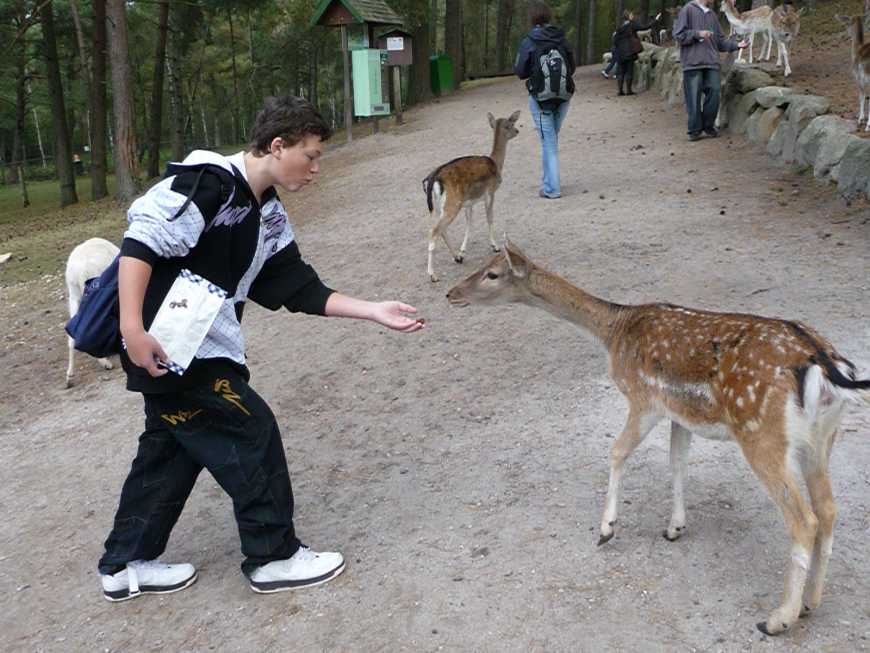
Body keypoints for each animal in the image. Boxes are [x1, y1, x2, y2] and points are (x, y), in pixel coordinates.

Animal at [421, 111, 520, 283]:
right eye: (510, 124)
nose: (517, 131)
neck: (497, 163)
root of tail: (432, 178)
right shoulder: (490, 192)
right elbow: (489, 217)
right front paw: (495, 246)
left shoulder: (469, 202)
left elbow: (469, 222)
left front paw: (462, 252)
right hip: (453, 203)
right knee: (433, 231)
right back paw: (433, 275)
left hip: (441, 205)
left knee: (442, 230)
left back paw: (456, 257)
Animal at [446, 240, 870, 636]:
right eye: (483, 267)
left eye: (492, 274)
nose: (451, 294)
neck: (614, 331)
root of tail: (826, 365)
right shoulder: (679, 413)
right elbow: (677, 463)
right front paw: (674, 528)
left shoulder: (643, 398)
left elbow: (617, 451)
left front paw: (606, 529)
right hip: (822, 439)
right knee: (828, 509)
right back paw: (811, 601)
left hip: (762, 435)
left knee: (804, 519)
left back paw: (778, 618)